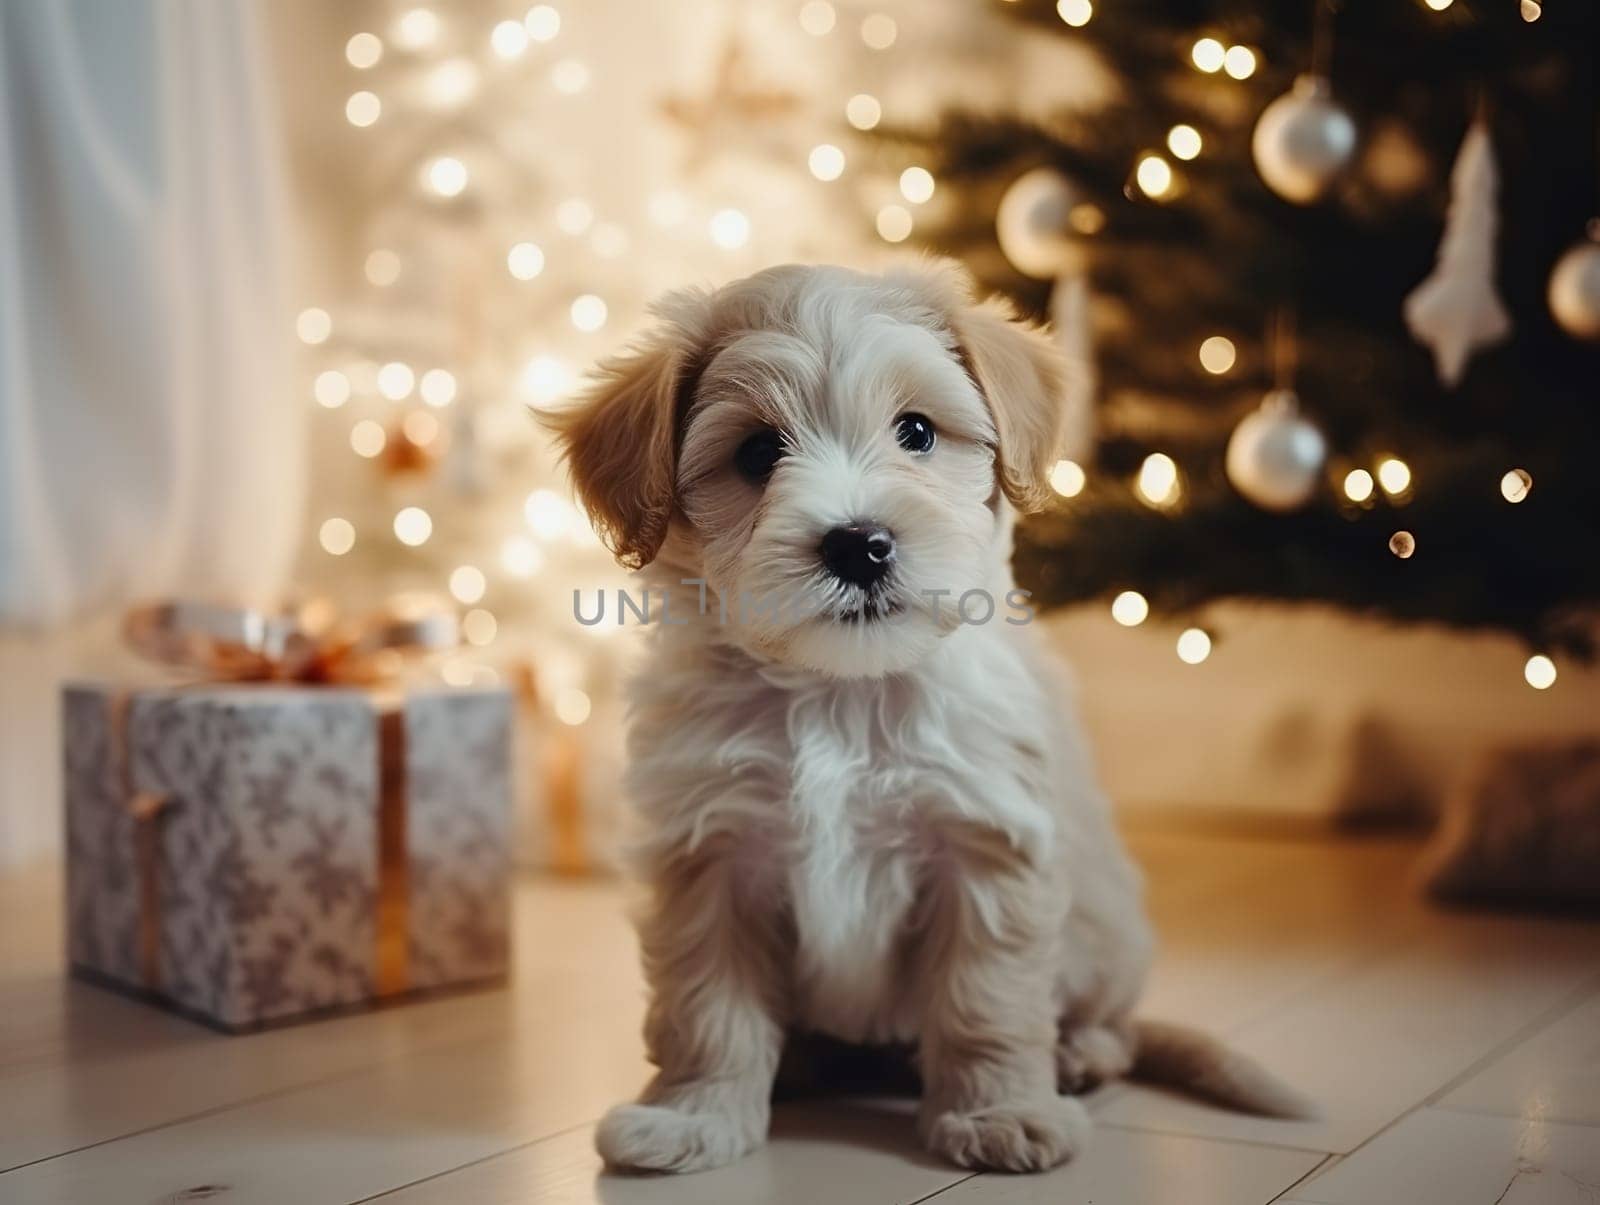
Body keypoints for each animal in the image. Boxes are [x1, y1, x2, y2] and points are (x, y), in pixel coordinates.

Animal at [556, 262, 1305, 1177]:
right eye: (757, 452)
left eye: (915, 431)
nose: (860, 543)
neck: (840, 690)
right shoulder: (711, 847)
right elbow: (706, 1007)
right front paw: (691, 1118)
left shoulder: (985, 838)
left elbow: (987, 998)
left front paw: (1001, 1111)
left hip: (1107, 929)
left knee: (1115, 1023)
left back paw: (1077, 1054)